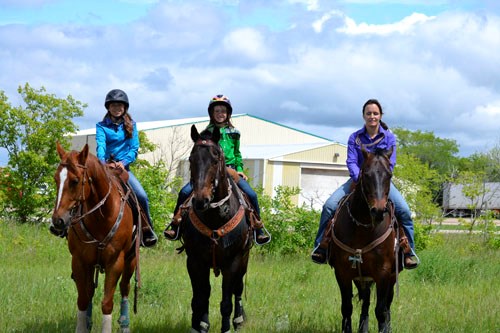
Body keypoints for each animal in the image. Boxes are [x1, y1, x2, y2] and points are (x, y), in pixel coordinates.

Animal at [50, 142, 139, 332]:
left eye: (75, 181)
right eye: (55, 179)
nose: (58, 221)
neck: (102, 216)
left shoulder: (115, 262)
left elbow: (107, 303)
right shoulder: (79, 261)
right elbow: (83, 299)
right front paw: (82, 326)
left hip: (131, 260)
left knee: (125, 288)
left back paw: (125, 324)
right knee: (90, 290)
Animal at [180, 125, 254, 332]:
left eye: (215, 160)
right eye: (191, 159)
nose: (201, 200)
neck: (215, 218)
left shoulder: (233, 262)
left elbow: (226, 302)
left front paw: (226, 327)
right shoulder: (195, 261)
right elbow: (200, 297)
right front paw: (199, 325)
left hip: (244, 259)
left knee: (238, 288)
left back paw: (238, 320)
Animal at [328, 147, 402, 332]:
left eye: (389, 174)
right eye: (366, 174)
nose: (378, 210)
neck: (363, 227)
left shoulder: (383, 273)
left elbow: (381, 311)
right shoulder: (343, 272)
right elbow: (347, 308)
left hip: (391, 277)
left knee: (387, 306)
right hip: (363, 278)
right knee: (366, 303)